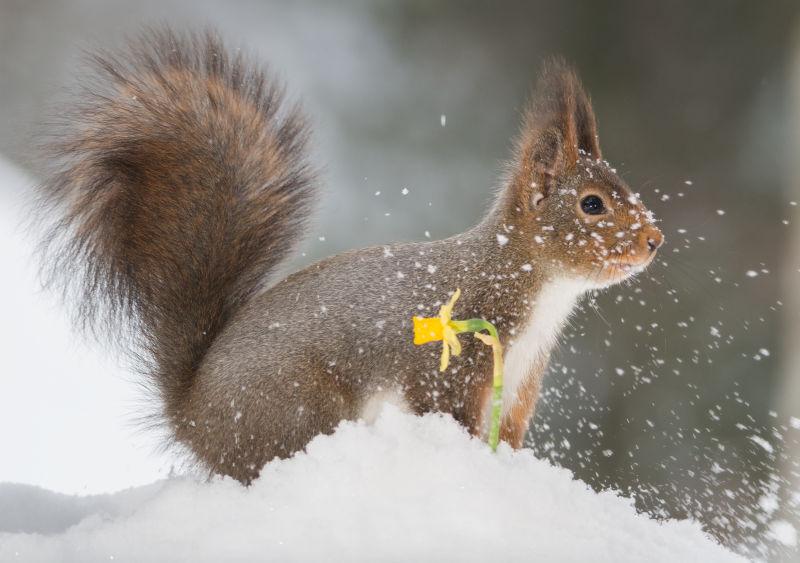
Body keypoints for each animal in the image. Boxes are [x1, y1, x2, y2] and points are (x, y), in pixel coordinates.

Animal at [36, 27, 664, 484]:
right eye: (591, 205)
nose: (654, 241)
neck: (536, 286)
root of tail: (192, 416)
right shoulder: (452, 371)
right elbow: (447, 414)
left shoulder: (520, 389)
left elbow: (506, 439)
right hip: (299, 409)